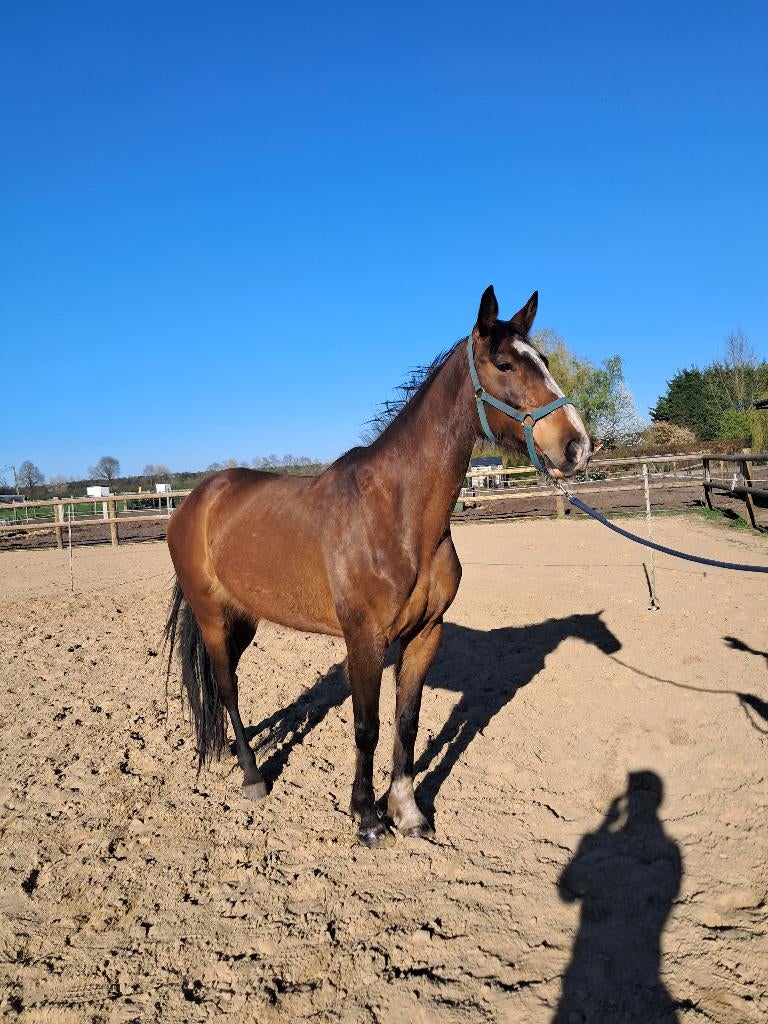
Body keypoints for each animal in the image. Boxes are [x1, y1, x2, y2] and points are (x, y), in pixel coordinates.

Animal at [164, 285, 591, 847]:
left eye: (542, 361)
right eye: (504, 364)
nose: (577, 445)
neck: (397, 513)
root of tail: (196, 500)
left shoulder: (426, 634)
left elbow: (406, 721)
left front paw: (408, 812)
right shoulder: (363, 640)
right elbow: (366, 727)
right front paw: (367, 818)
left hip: (245, 617)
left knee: (223, 683)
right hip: (212, 615)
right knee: (227, 687)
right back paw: (253, 776)